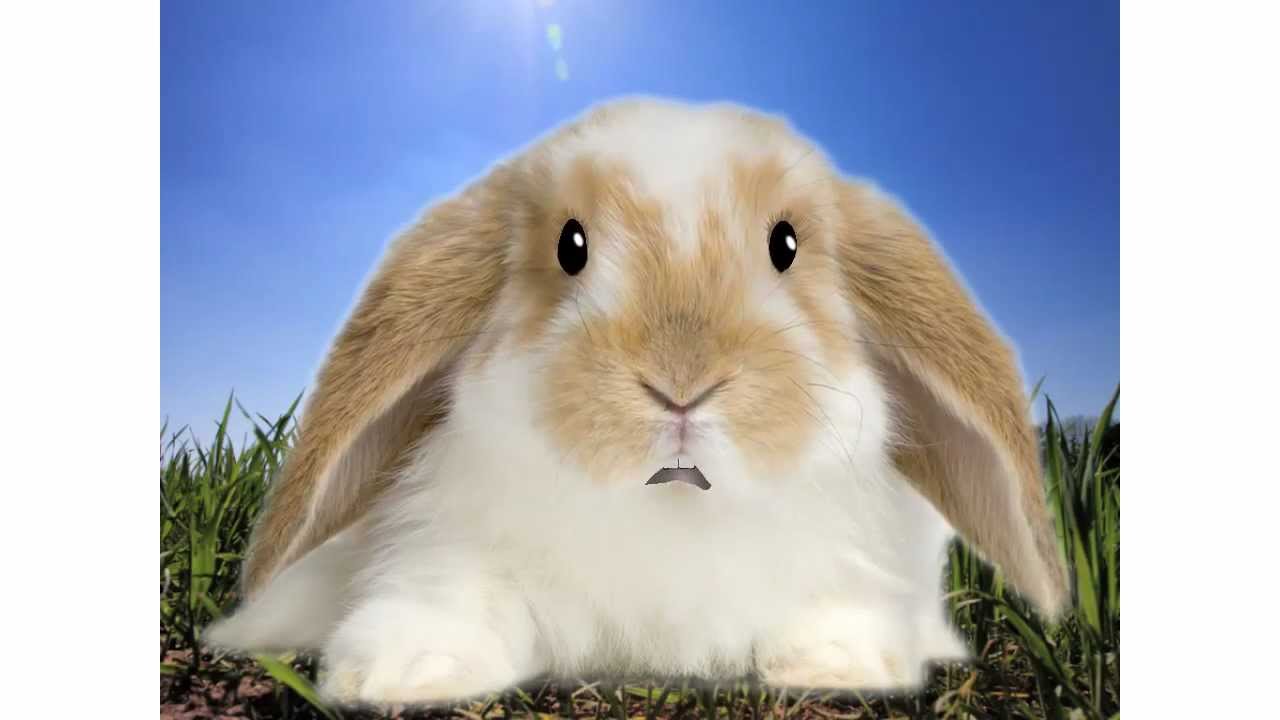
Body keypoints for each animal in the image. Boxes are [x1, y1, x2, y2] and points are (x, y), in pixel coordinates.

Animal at [205, 97, 1067, 706]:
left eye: (786, 244)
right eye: (570, 246)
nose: (680, 382)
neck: (669, 515)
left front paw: (836, 662)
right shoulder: (441, 544)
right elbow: (450, 595)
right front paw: (406, 671)